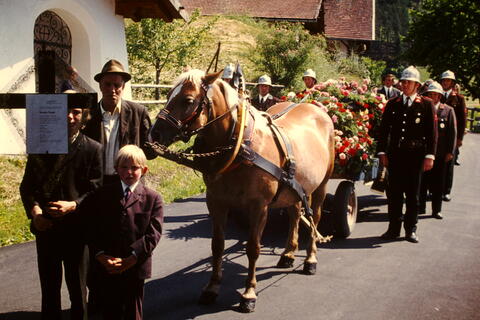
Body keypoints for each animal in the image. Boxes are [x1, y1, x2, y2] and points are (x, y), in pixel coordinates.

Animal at [149, 69, 334, 312]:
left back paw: (310, 259)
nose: (154, 135)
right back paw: (288, 253)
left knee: (316, 217)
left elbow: (253, 248)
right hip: (294, 187)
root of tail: (316, 108)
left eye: (188, 100)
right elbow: (217, 245)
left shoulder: (259, 207)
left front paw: (249, 293)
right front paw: (211, 288)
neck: (241, 147)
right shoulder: (216, 202)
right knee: (295, 213)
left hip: (322, 184)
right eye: (169, 94)